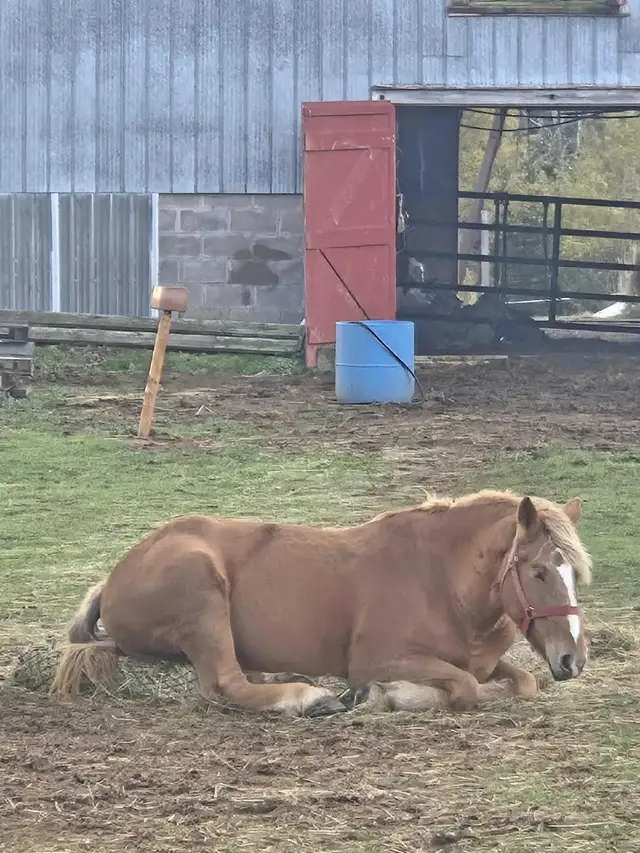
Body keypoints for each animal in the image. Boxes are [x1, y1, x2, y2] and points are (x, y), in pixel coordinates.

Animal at [51, 489, 592, 717]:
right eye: (539, 571)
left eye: (574, 574)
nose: (573, 660)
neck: (441, 581)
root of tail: (114, 578)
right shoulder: (378, 659)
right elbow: (466, 687)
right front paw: (388, 695)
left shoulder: (484, 660)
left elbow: (520, 683)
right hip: (200, 588)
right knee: (225, 684)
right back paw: (308, 698)